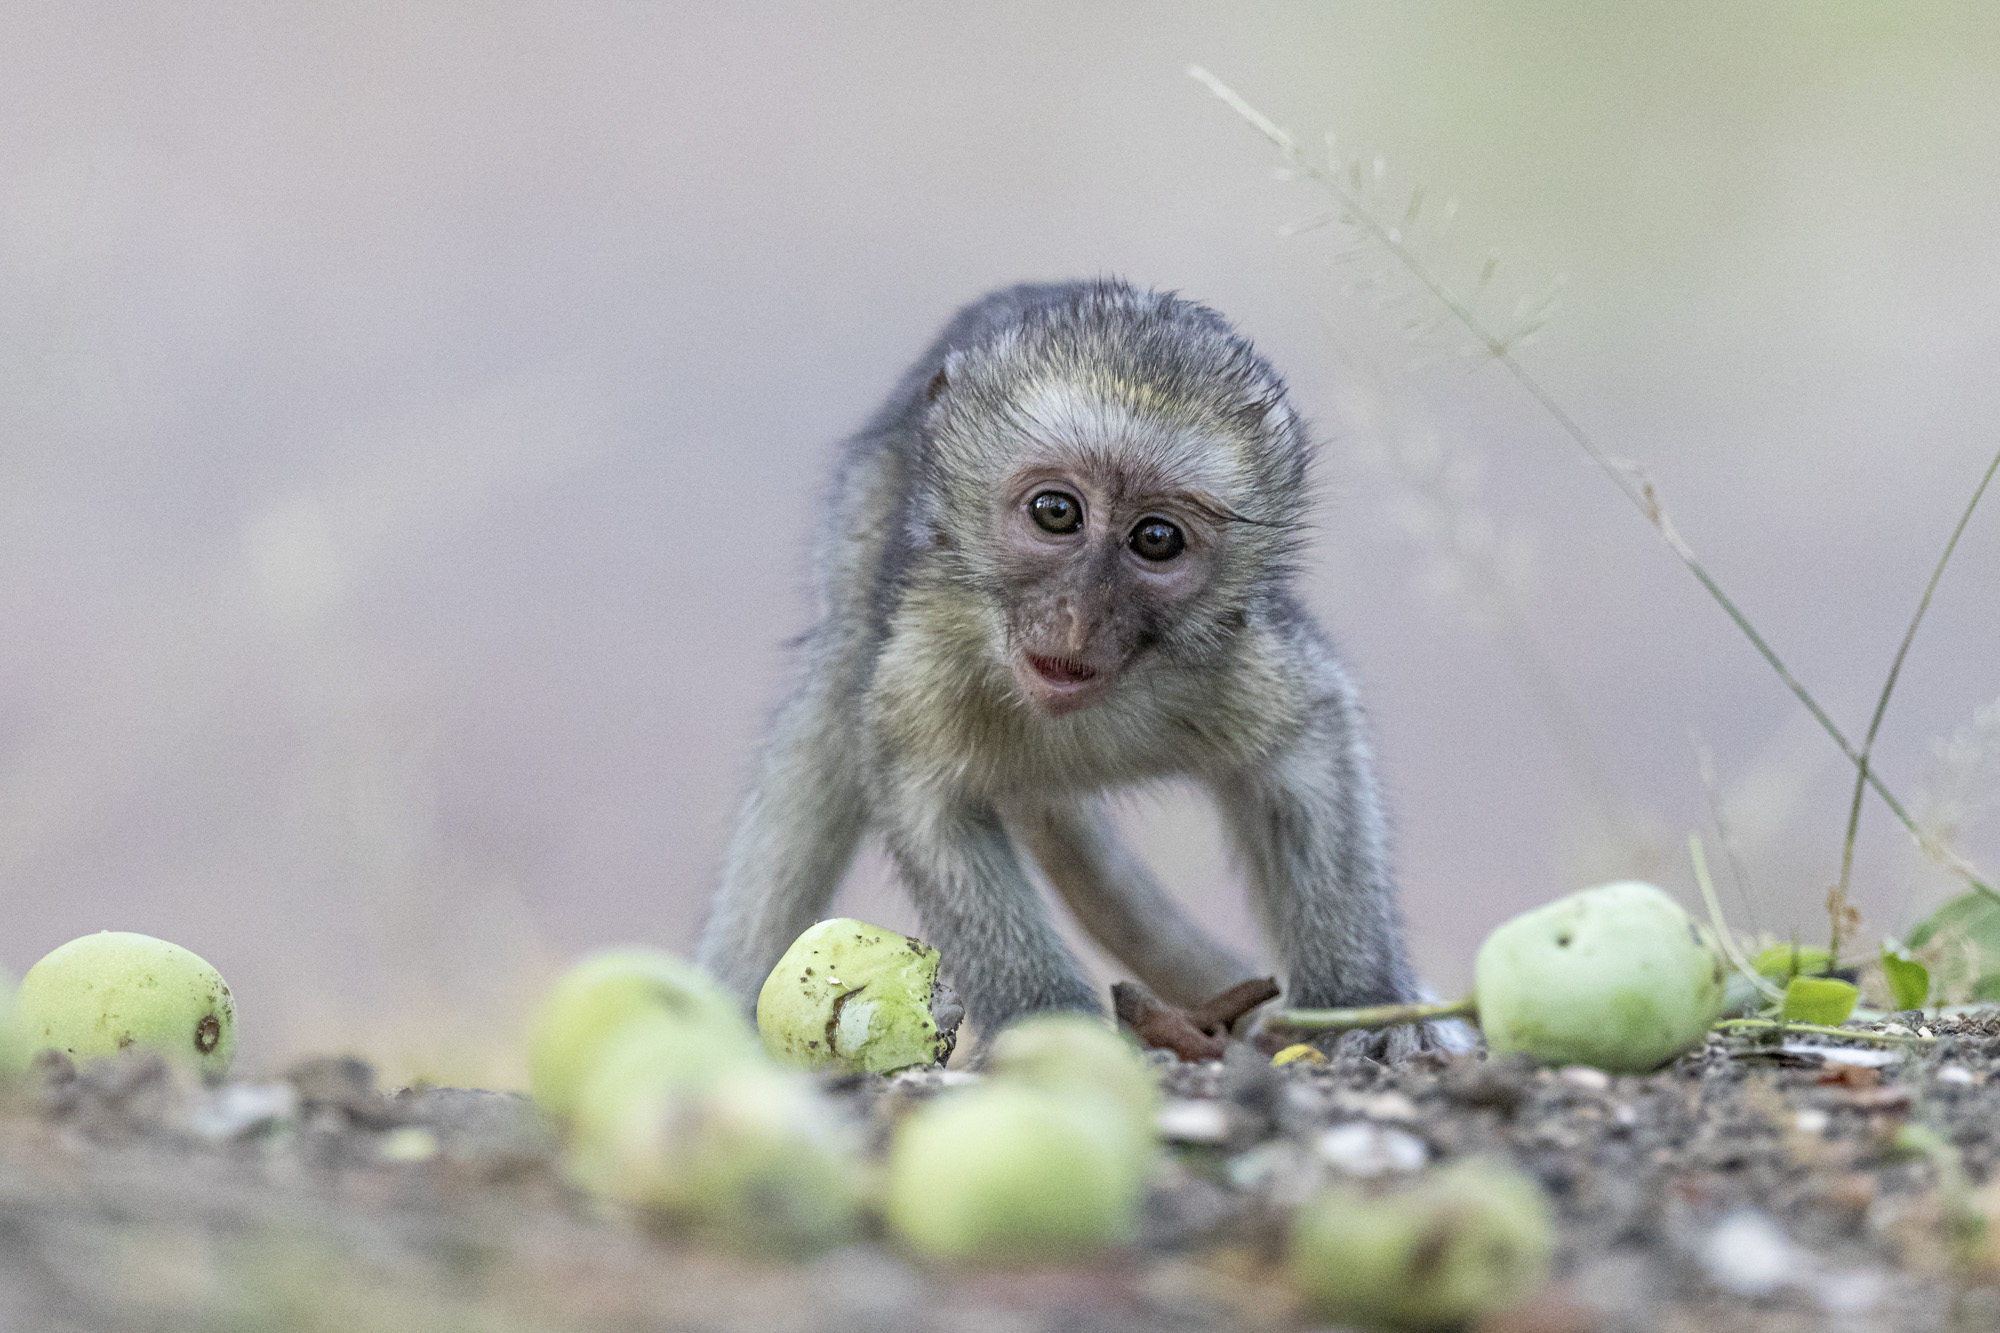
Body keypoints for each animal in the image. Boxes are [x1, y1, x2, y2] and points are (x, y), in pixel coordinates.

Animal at [697, 279, 1437, 1055]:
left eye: (1156, 539)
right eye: (1057, 512)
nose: (1078, 617)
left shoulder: (1238, 652)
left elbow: (1309, 745)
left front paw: (1358, 1000)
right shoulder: (928, 648)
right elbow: (924, 792)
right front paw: (1046, 1016)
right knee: (832, 695)